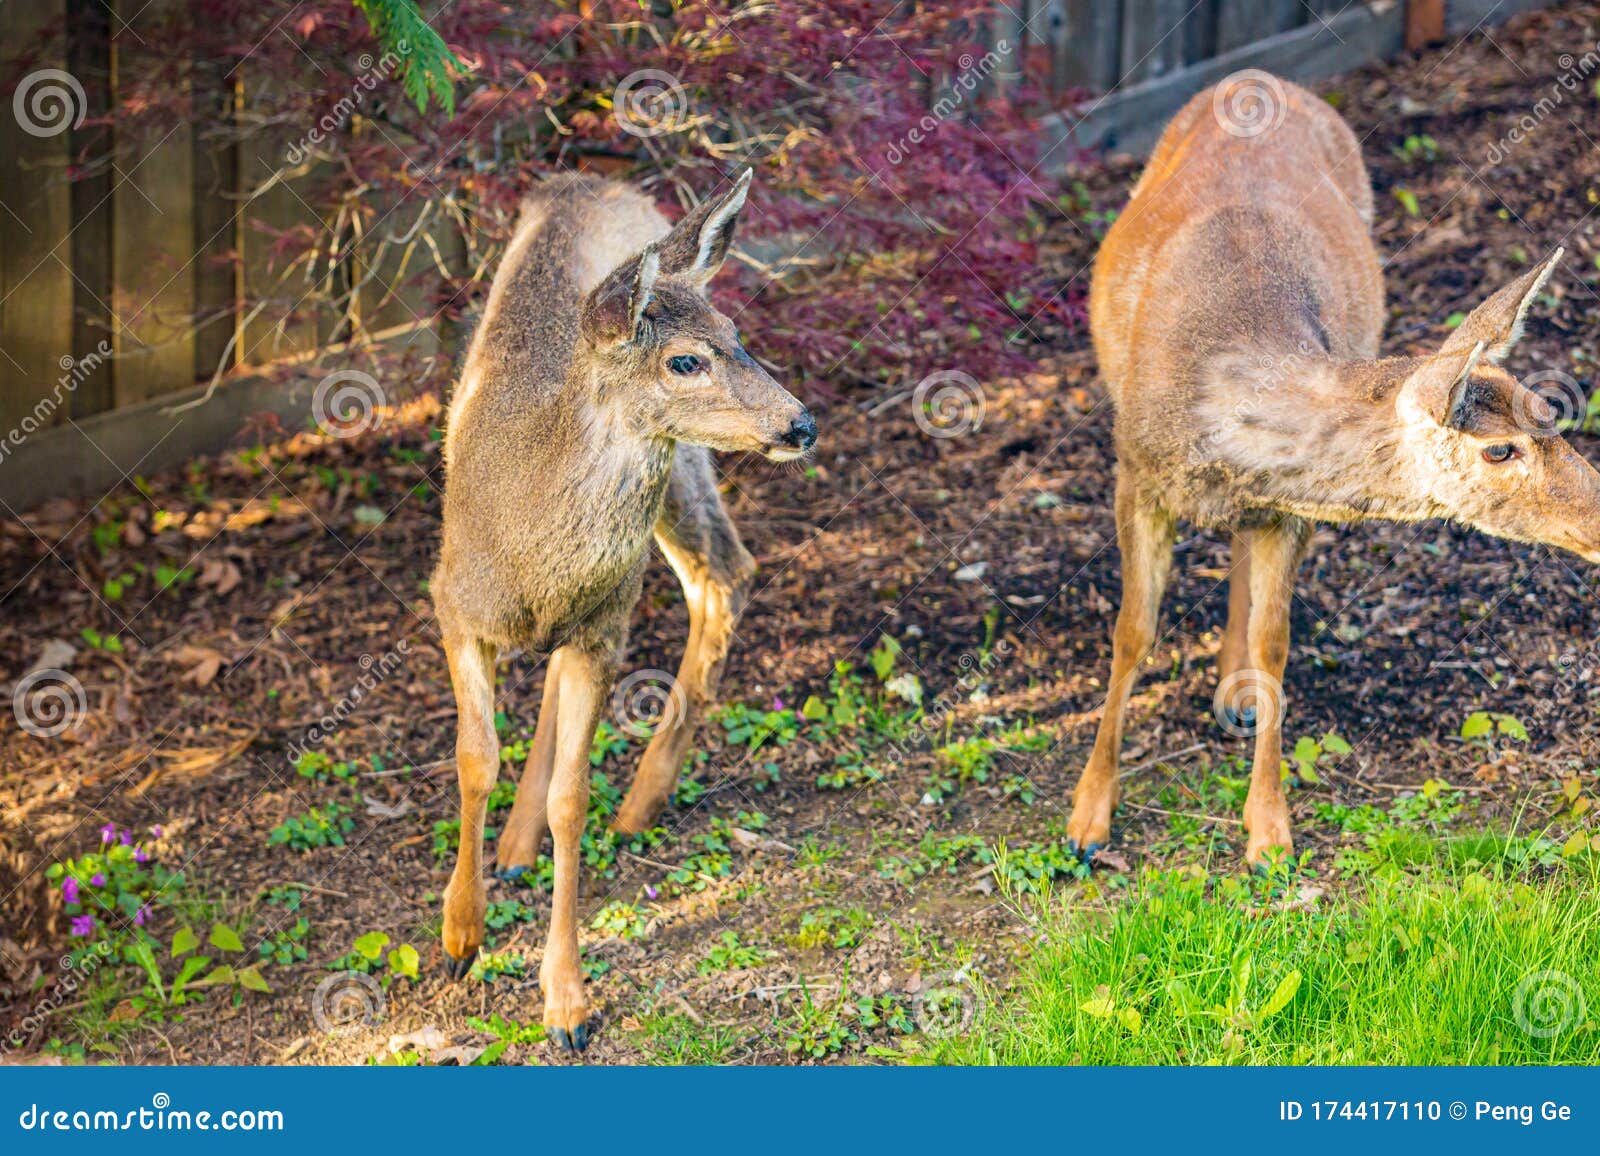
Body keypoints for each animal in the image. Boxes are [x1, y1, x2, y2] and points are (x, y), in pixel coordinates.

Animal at [430, 167, 816, 1051]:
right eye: (685, 359)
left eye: (736, 330)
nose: (799, 422)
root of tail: (586, 184)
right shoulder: (452, 600)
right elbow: (474, 759)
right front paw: (459, 937)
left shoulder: (605, 626)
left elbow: (574, 799)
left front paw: (566, 1003)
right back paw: (514, 847)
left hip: (674, 488)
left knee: (725, 572)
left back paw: (640, 803)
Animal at [1069, 73, 1600, 869]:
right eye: (1501, 449)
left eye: (1550, 413)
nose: (1598, 515)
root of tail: (1259, 79)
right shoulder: (1133, 471)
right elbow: (1132, 633)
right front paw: (1088, 818)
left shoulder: (1292, 509)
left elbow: (1275, 643)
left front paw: (1268, 833)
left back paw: (1235, 692)